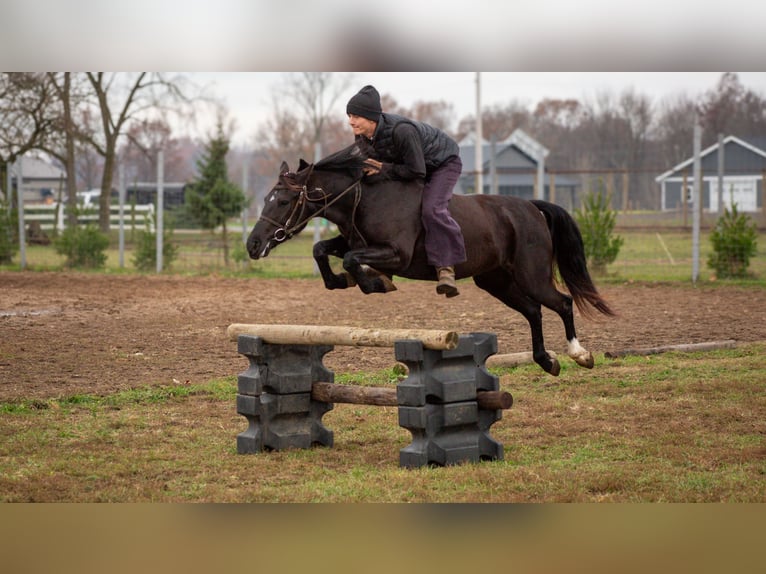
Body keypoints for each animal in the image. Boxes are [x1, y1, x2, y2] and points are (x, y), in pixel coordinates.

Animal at [246, 144, 614, 376]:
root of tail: (531, 207)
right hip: (496, 280)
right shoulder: (355, 239)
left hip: (530, 274)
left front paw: (374, 282)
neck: (364, 198)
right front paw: (342, 280)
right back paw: (546, 361)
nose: (253, 244)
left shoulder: (397, 254)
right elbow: (322, 250)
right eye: (266, 199)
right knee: (534, 310)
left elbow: (351, 259)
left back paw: (579, 354)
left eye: (283, 201)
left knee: (561, 302)